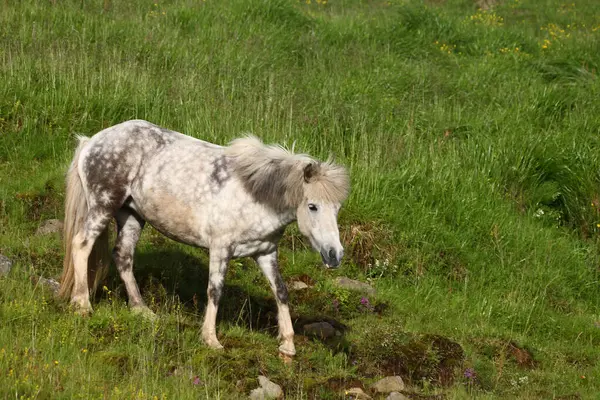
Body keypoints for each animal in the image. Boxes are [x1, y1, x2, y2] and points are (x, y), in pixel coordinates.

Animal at [58, 119, 350, 360]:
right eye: (312, 206)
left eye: (337, 208)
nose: (334, 255)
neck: (255, 195)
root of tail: (91, 141)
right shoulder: (221, 248)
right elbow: (215, 290)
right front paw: (211, 339)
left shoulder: (265, 253)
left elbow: (281, 291)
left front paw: (288, 344)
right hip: (103, 206)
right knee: (81, 245)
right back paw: (82, 304)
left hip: (131, 215)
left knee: (123, 256)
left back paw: (141, 310)